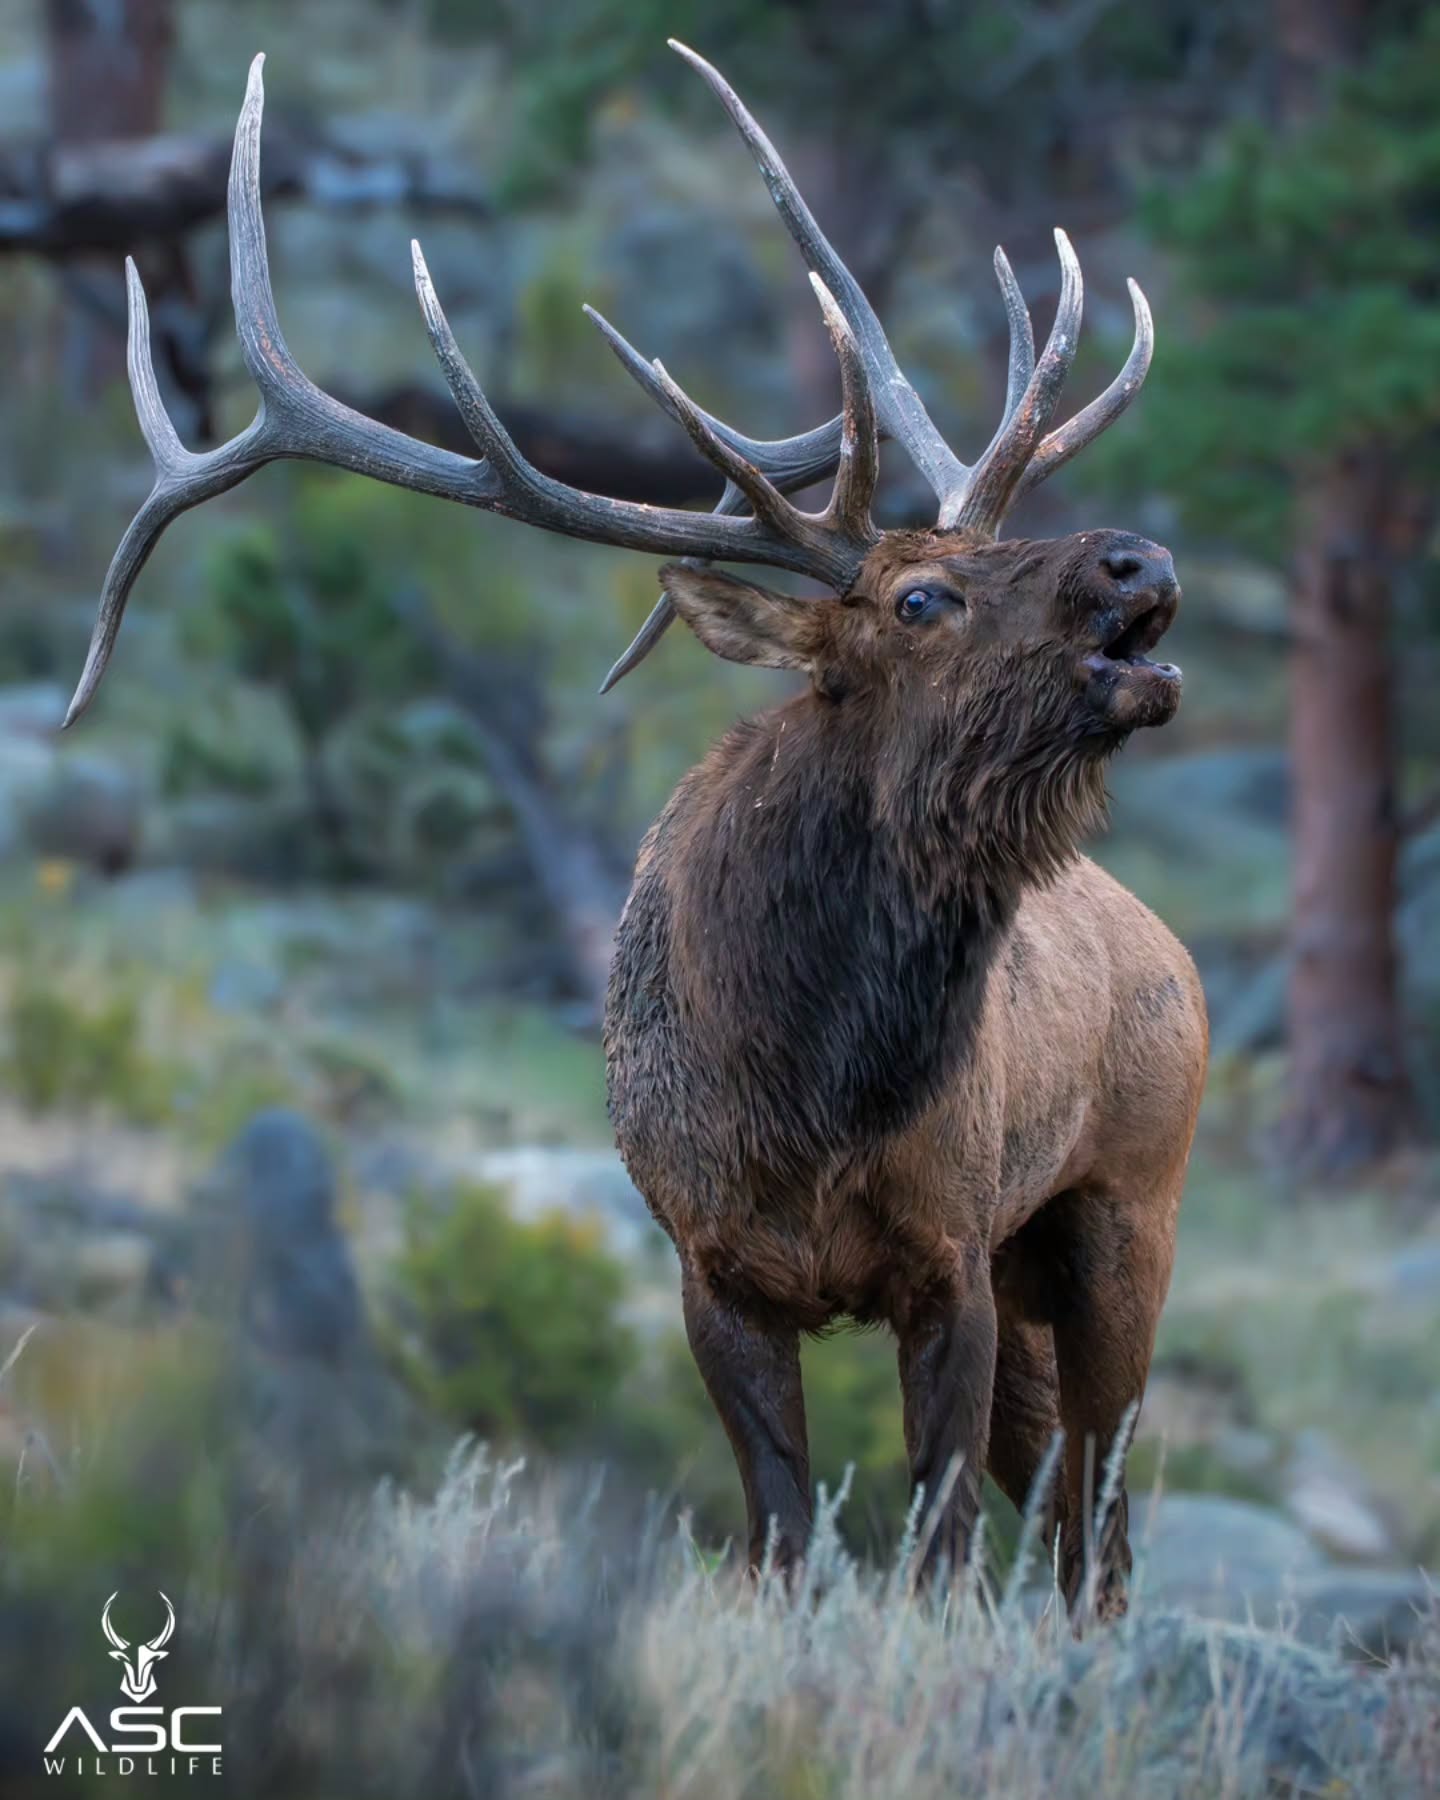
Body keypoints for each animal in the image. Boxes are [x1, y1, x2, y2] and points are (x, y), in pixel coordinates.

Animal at [66, 41, 1207, 1620]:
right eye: (921, 597)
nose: (1137, 561)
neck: (809, 1089)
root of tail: (1172, 943)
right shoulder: (707, 1265)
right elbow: (783, 1538)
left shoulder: (952, 1250)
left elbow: (935, 1553)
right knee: (1075, 1511)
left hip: (1125, 1206)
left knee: (1099, 1529)